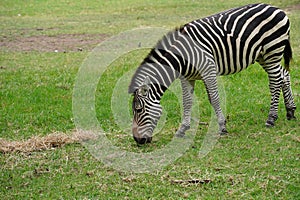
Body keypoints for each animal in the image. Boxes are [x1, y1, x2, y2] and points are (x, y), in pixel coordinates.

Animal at [127, 2, 296, 144]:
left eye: (138, 110)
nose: (138, 141)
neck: (181, 58)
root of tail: (276, 8)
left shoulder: (208, 70)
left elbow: (214, 98)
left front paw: (222, 127)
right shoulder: (187, 77)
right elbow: (187, 101)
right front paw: (182, 129)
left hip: (272, 51)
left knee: (275, 82)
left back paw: (271, 118)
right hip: (263, 56)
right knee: (283, 75)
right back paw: (290, 111)